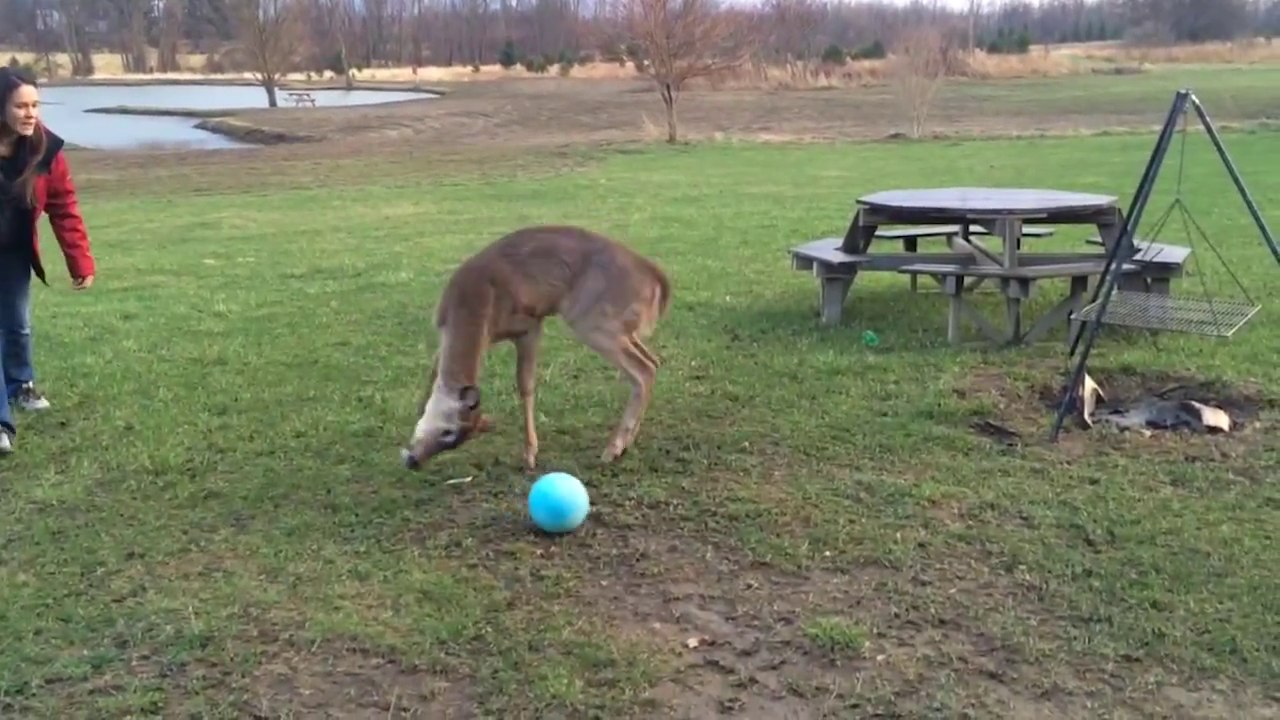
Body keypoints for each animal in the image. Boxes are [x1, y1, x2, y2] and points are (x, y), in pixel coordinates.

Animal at [400, 224, 672, 472]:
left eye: (450, 433)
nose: (413, 461)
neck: (469, 305)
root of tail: (658, 281)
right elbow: (432, 373)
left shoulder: (529, 324)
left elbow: (525, 384)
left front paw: (530, 454)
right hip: (622, 326)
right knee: (653, 360)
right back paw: (627, 441)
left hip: (592, 319)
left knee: (643, 369)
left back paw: (612, 448)